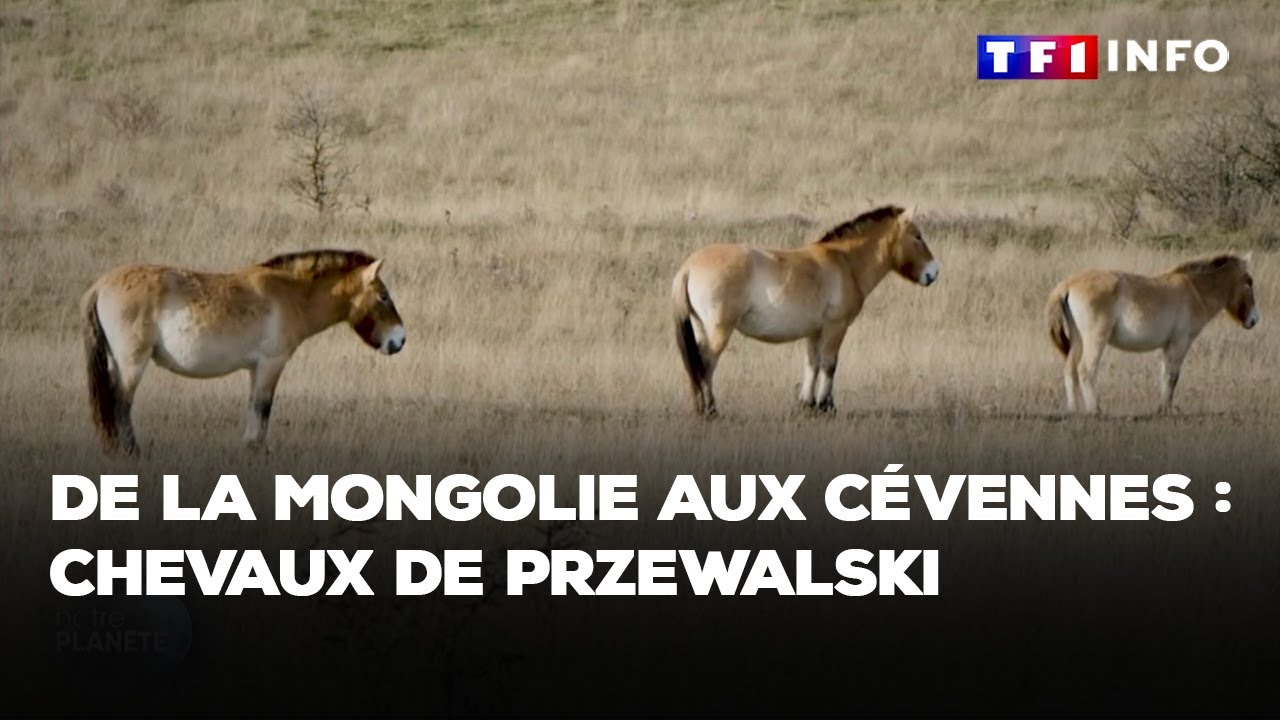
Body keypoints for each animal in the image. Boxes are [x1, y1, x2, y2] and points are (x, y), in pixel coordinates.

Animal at [81, 249, 406, 454]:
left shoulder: (255, 368)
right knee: (120, 403)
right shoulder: (271, 364)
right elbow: (263, 407)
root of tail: (101, 285)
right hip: (132, 363)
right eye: (383, 296)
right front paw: (257, 449)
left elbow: (253, 406)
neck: (291, 294)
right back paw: (132, 452)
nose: (400, 340)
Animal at [671, 205, 938, 416]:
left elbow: (812, 364)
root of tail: (688, 266)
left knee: (696, 364)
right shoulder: (836, 327)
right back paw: (710, 410)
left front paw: (806, 405)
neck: (845, 262)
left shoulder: (814, 331)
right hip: (719, 331)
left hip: (700, 328)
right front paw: (826, 406)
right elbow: (829, 364)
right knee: (706, 363)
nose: (934, 273)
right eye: (917, 236)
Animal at [1045, 253, 1258, 414]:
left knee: (1070, 370)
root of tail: (1068, 283)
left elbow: (1164, 375)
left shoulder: (1168, 346)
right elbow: (1172, 377)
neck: (1195, 290)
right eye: (1249, 282)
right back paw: (1095, 411)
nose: (1254, 319)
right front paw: (1167, 411)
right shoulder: (1179, 343)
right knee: (1086, 370)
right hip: (1095, 340)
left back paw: (1074, 411)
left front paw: (1162, 409)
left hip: (1078, 340)